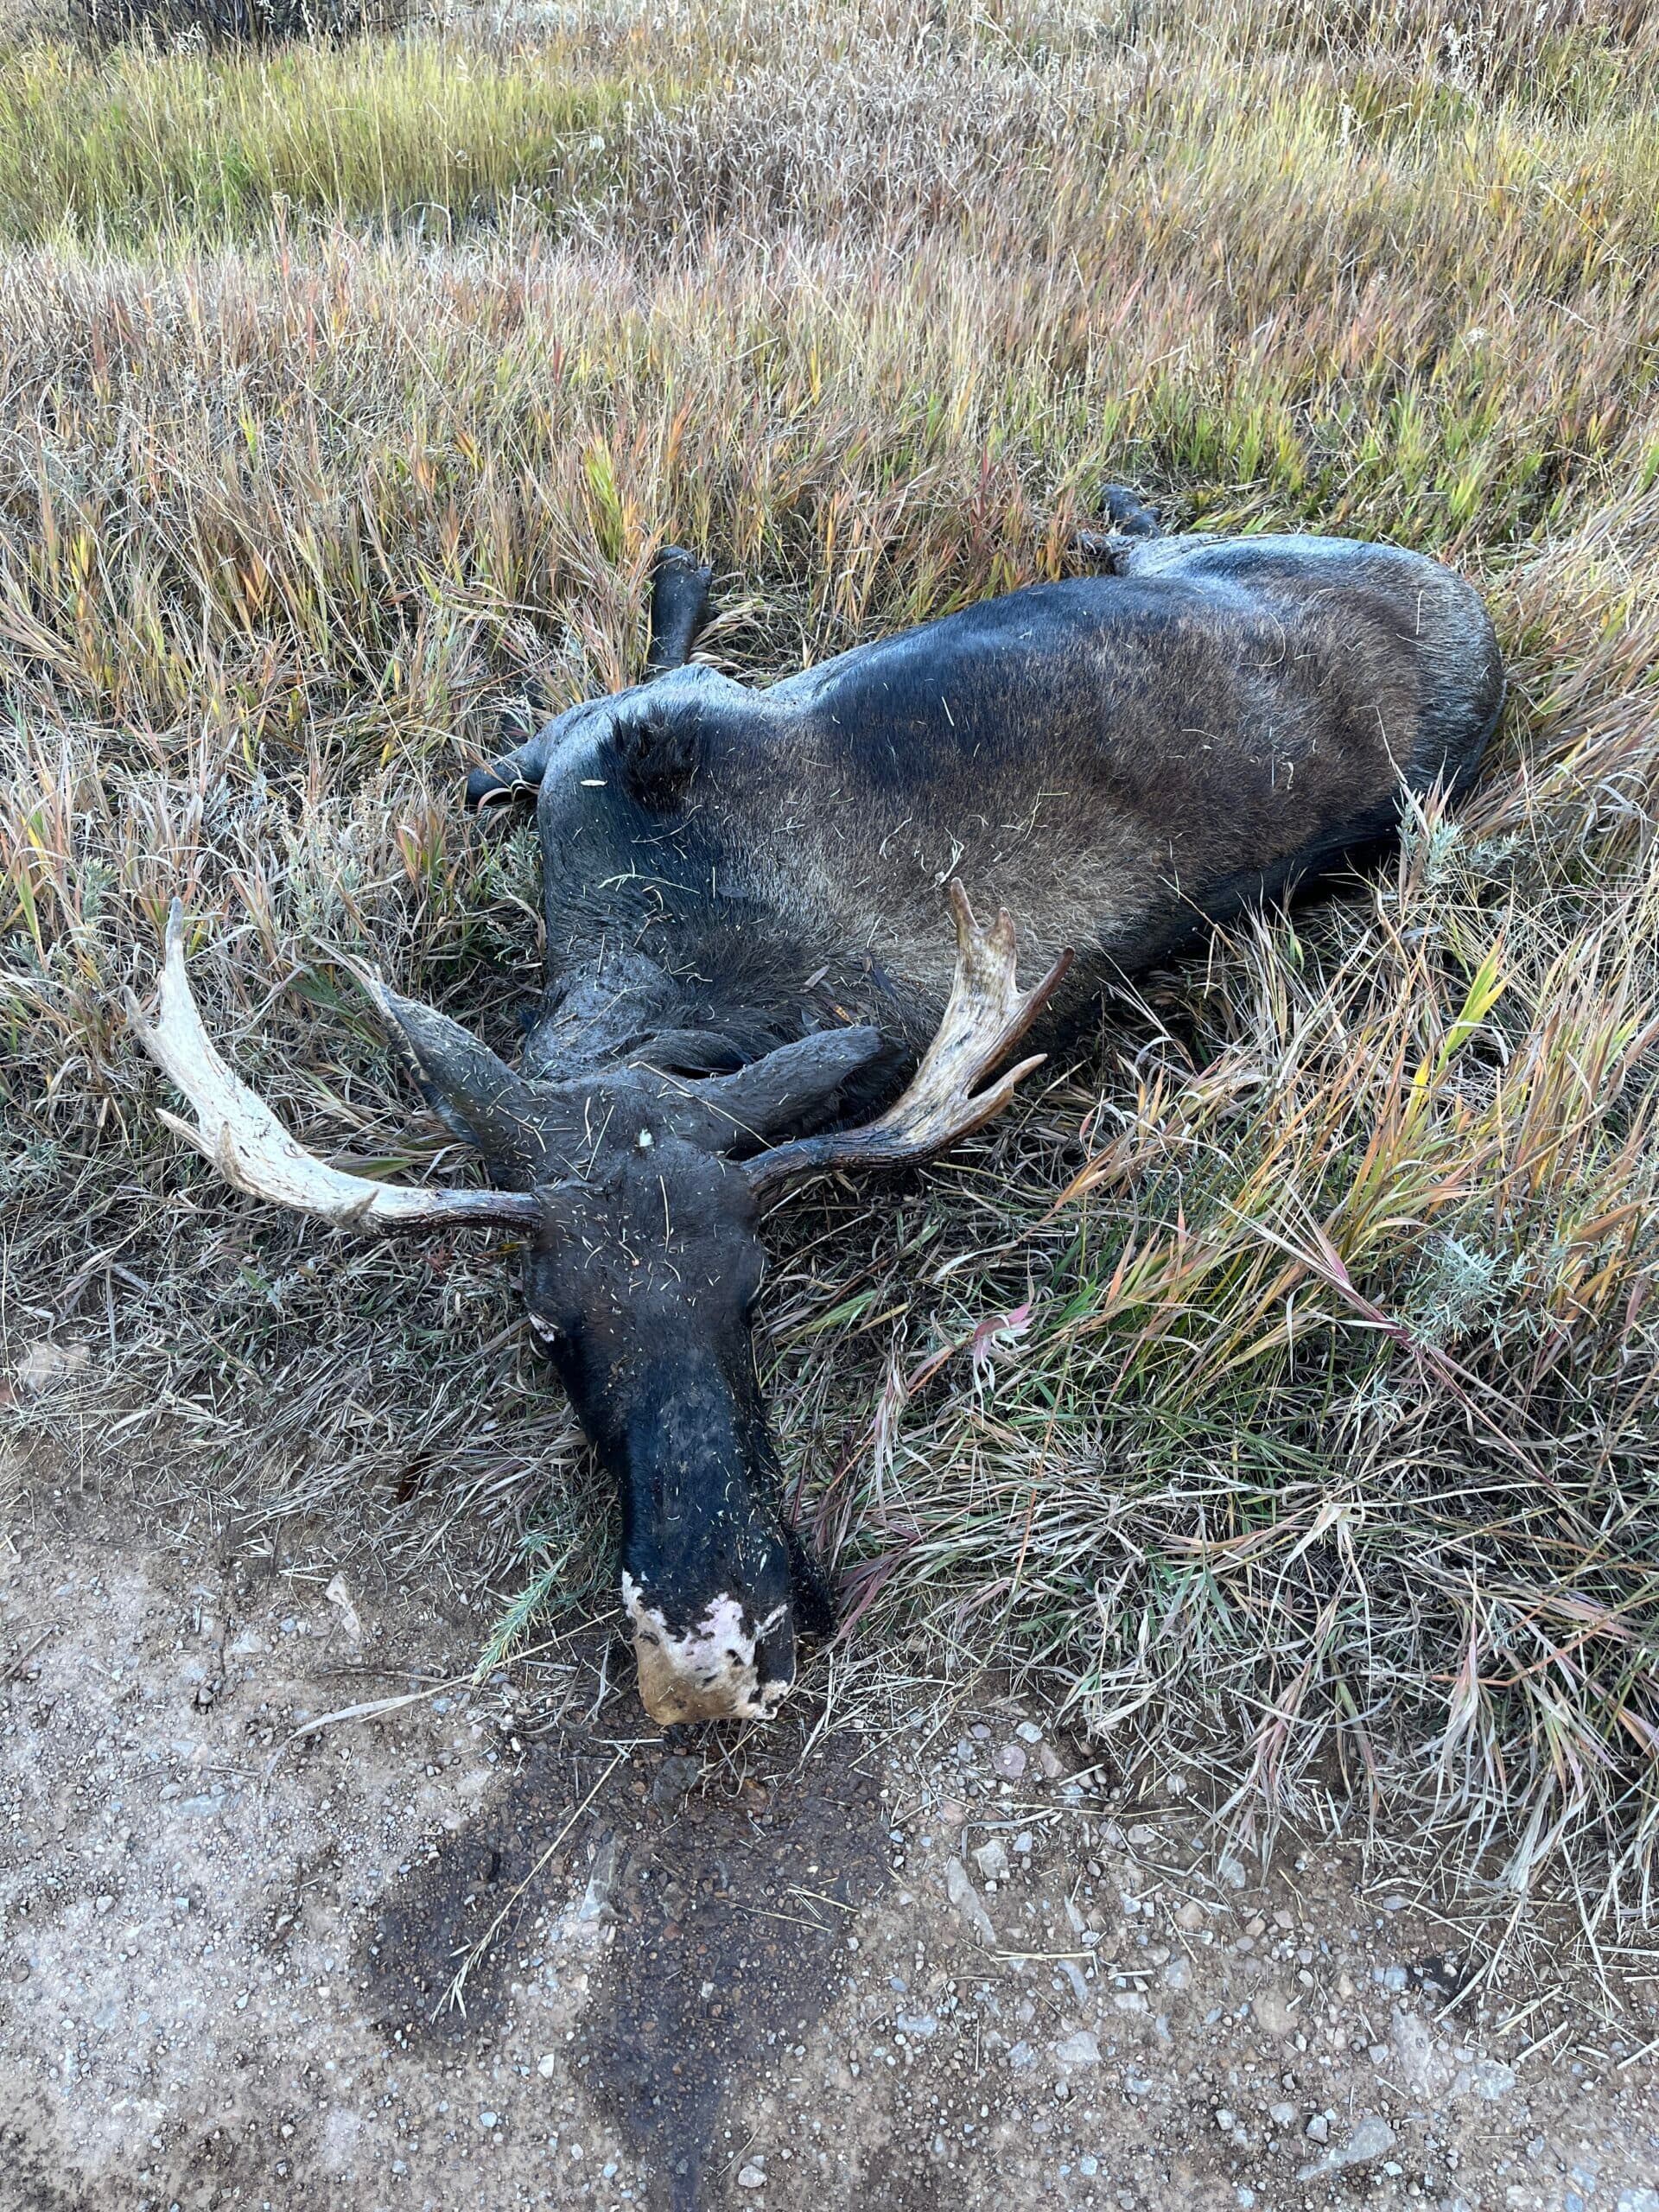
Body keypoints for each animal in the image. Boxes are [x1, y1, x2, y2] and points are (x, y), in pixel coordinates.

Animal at [130, 488, 1504, 1727]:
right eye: (542, 1319)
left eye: (753, 1287)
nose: (714, 1651)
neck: (658, 973)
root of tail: (1474, 620)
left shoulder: (635, 720)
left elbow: (590, 698)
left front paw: (655, 597)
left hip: (1239, 548)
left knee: (1142, 534)